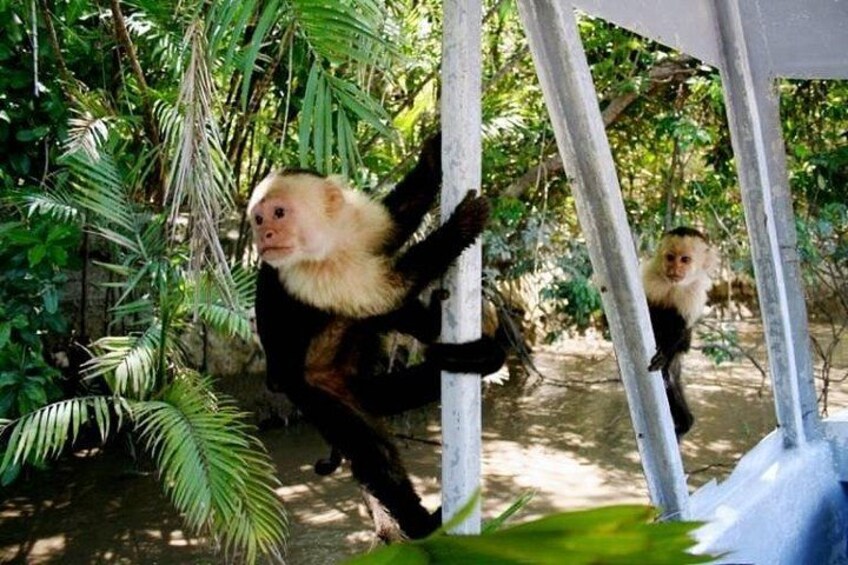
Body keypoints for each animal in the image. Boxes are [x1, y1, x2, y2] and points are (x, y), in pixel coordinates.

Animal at [251, 135, 506, 539]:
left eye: (278, 213)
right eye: (258, 219)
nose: (264, 235)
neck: (328, 242)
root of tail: (352, 382)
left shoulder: (357, 222)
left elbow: (394, 222)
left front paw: (432, 156)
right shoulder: (297, 272)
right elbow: (388, 288)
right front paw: (459, 228)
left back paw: (431, 328)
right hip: (318, 394)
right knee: (373, 453)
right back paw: (421, 525)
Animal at [642, 226, 717, 439]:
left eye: (685, 259)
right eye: (670, 257)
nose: (674, 268)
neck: (672, 285)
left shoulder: (694, 293)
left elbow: (681, 328)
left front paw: (663, 352)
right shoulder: (648, 275)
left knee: (670, 377)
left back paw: (686, 423)